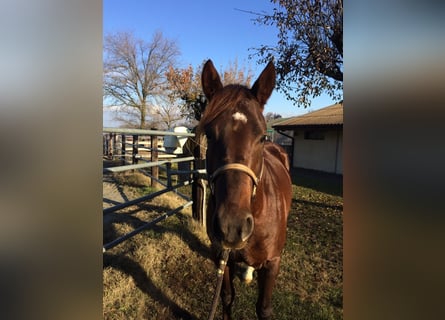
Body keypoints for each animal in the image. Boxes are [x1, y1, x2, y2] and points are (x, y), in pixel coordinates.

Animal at [200, 60, 292, 320]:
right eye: (209, 134)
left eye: (261, 136)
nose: (232, 226)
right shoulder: (222, 258)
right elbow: (227, 297)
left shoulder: (272, 264)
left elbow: (264, 309)